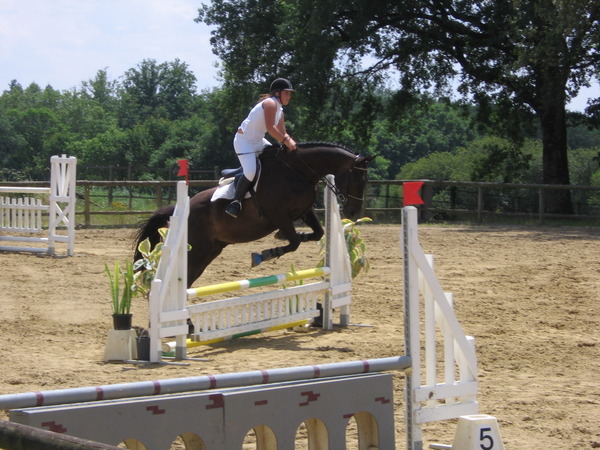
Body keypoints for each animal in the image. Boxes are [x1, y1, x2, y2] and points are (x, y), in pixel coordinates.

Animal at [136, 142, 376, 286]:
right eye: (356, 178)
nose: (353, 212)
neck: (297, 171)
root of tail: (179, 209)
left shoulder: (304, 211)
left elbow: (316, 234)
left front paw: (279, 239)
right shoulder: (278, 214)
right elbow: (294, 241)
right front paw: (266, 253)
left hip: (212, 249)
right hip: (197, 249)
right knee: (182, 281)